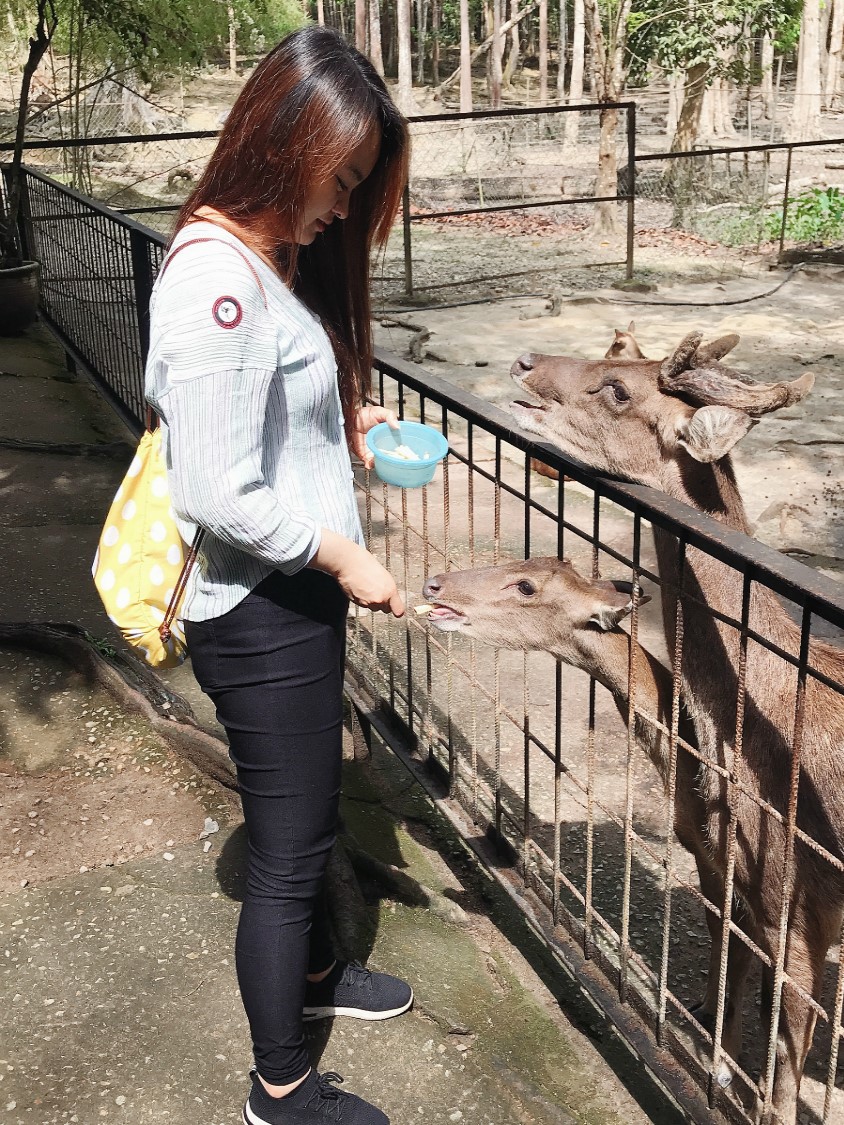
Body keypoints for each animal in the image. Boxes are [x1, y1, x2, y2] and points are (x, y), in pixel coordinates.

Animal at [421, 556, 752, 1083]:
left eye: (527, 586)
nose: (434, 583)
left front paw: (723, 1071)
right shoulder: (713, 861)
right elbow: (727, 943)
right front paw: (710, 1041)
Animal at [508, 331, 844, 1124]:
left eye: (619, 389)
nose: (525, 362)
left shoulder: (799, 901)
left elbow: (784, 1057)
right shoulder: (729, 874)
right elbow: (728, 988)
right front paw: (709, 1060)